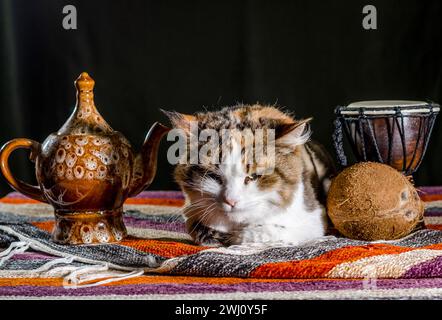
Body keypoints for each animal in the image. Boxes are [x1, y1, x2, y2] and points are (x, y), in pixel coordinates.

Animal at [164, 104, 334, 246]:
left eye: (254, 177)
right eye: (214, 176)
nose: (231, 201)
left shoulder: (313, 220)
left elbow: (263, 232)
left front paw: (237, 236)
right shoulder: (193, 214)